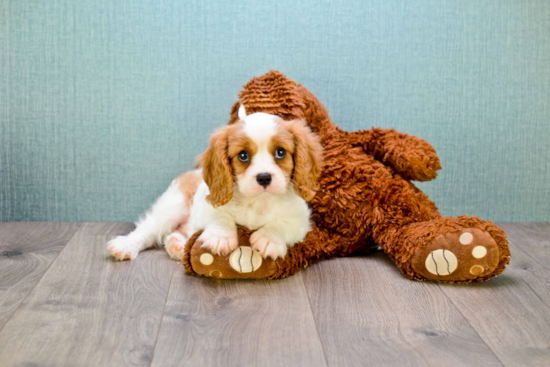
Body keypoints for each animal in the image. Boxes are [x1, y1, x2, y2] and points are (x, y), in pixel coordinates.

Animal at [106, 105, 324, 264]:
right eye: (243, 156)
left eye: (280, 152)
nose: (263, 177)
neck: (257, 201)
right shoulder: (205, 205)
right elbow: (220, 215)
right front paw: (221, 237)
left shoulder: (301, 221)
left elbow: (282, 224)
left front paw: (269, 239)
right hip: (173, 207)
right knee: (147, 231)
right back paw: (125, 246)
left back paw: (177, 245)